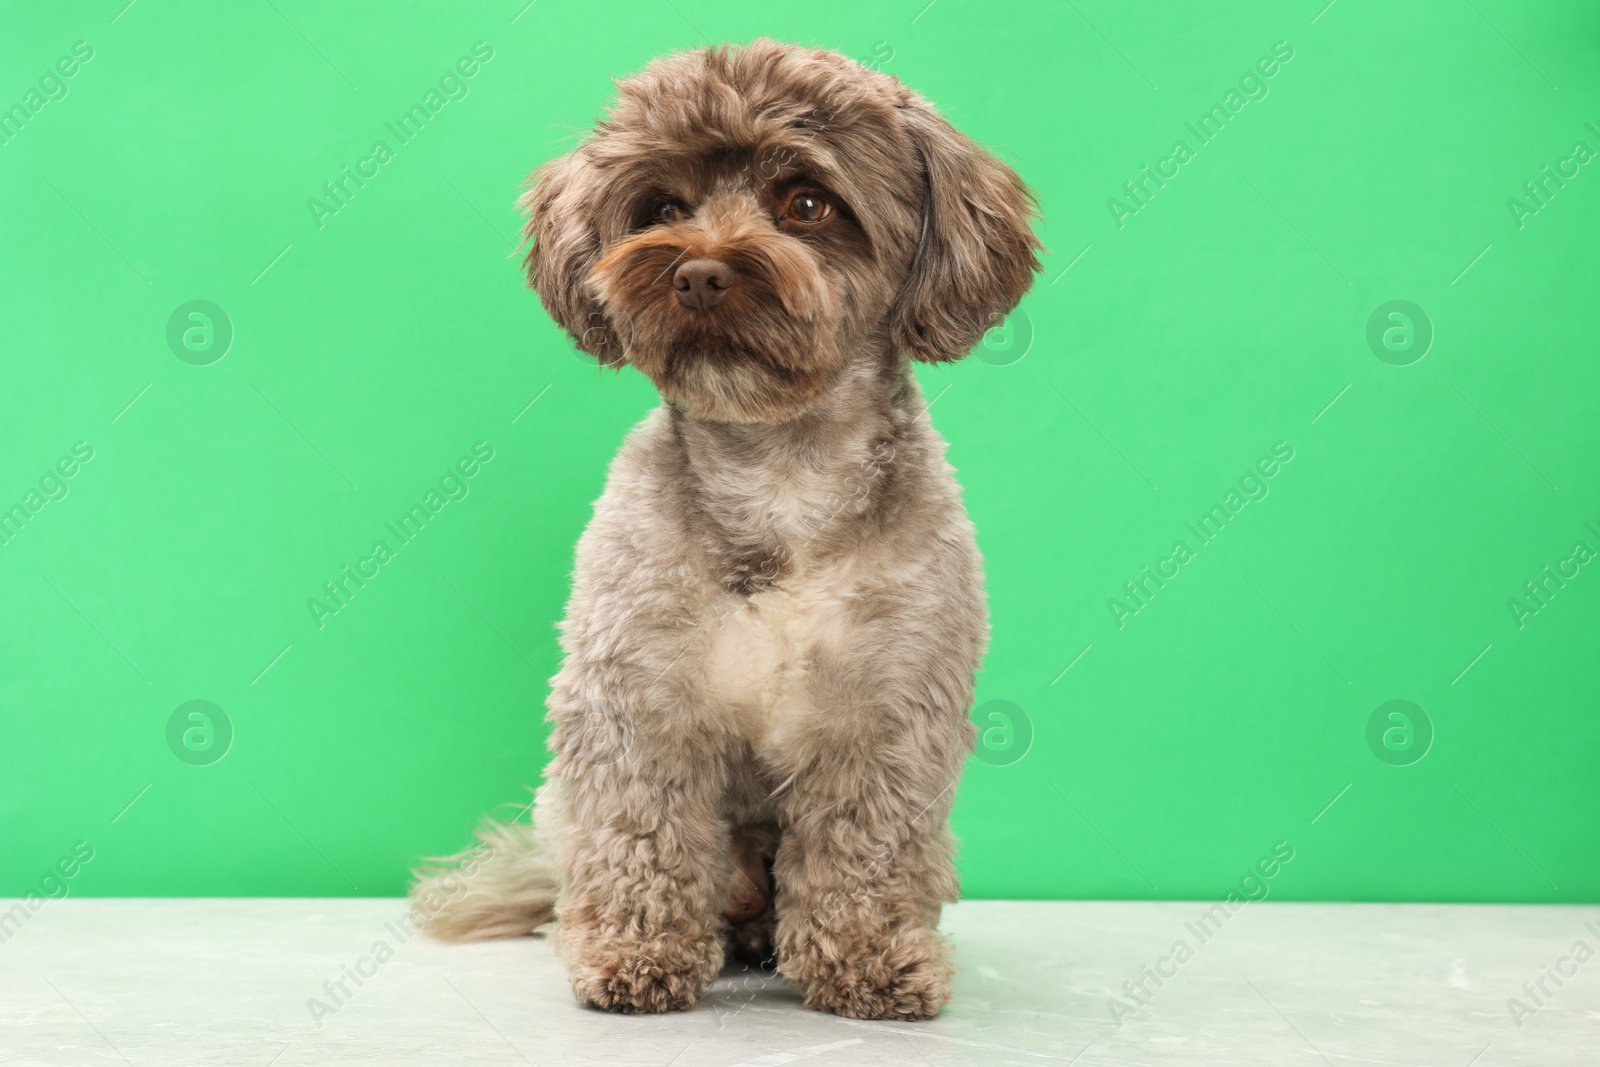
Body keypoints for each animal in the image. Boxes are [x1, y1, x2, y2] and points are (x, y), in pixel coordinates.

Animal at [409, 37, 1036, 1023]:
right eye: (663, 207)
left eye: (809, 204)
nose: (698, 271)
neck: (778, 478)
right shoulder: (636, 700)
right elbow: (641, 832)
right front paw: (636, 952)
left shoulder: (887, 709)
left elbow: (868, 849)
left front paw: (869, 962)